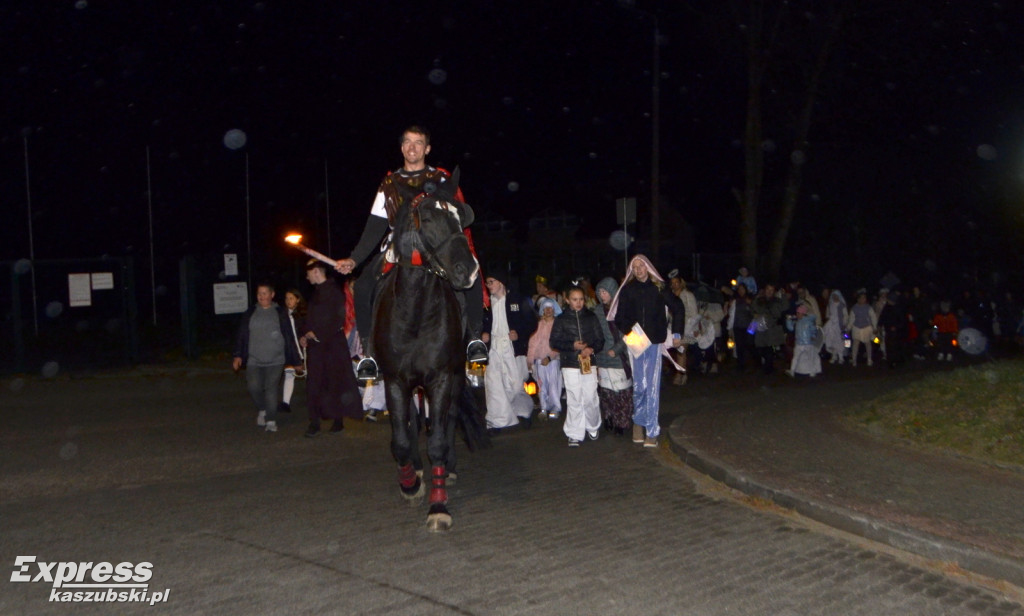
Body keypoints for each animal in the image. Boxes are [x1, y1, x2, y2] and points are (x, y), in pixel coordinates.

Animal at [372, 166, 479, 528]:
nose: (467, 270)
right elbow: (401, 439)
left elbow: (437, 440)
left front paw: (438, 505)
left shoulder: (442, 378)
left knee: (447, 421)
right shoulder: (395, 381)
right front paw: (410, 483)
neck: (415, 313)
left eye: (461, 216)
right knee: (415, 424)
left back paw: (449, 469)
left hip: (456, 376)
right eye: (427, 217)